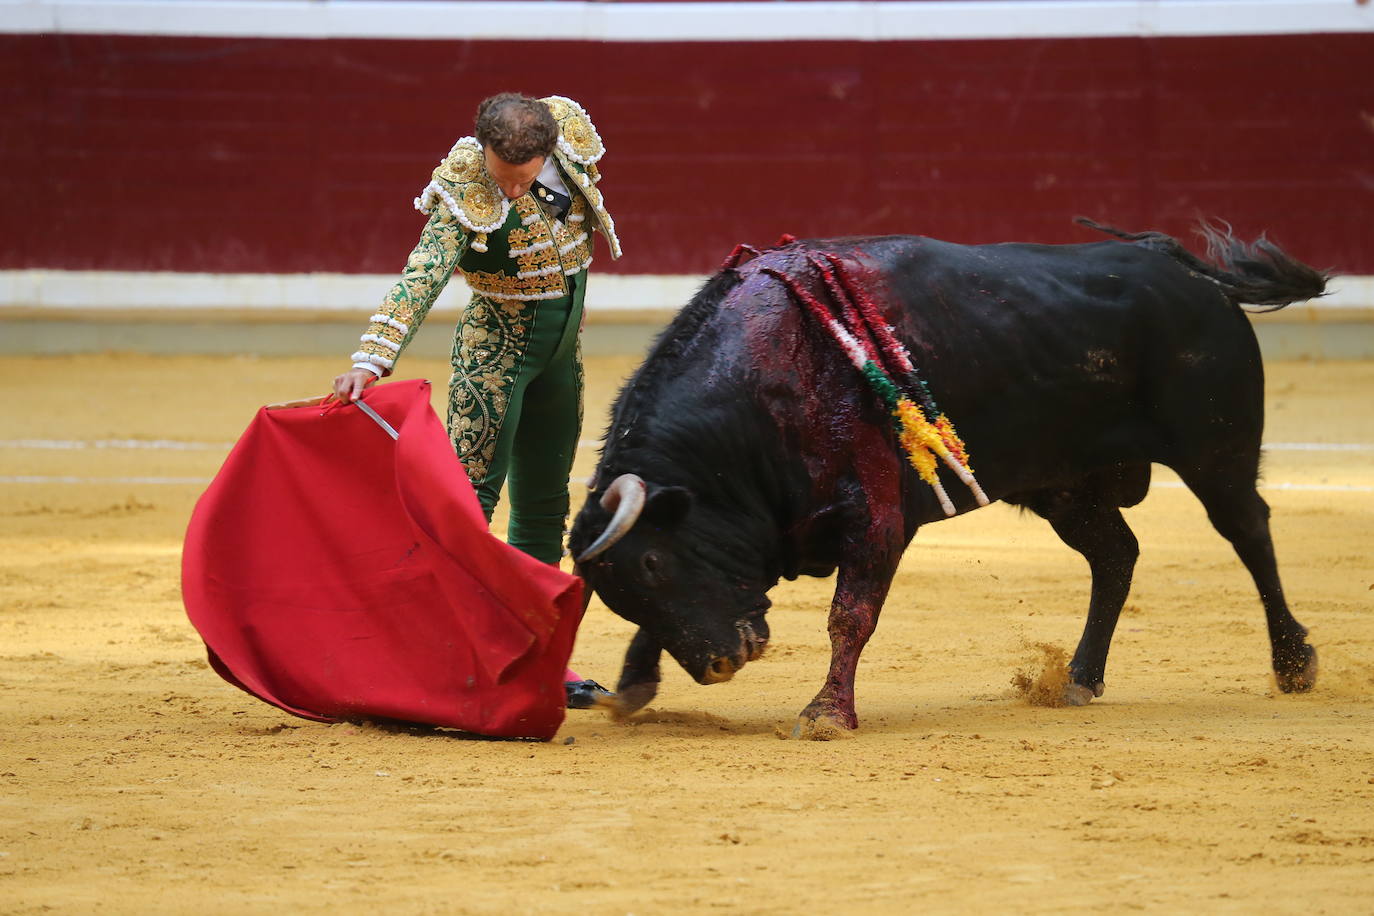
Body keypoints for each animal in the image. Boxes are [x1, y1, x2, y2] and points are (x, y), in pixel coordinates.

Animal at [563, 222, 1324, 736]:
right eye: (621, 591)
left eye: (655, 563)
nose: (720, 664)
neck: (766, 384)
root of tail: (1197, 279)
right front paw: (630, 687)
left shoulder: (876, 520)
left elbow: (850, 616)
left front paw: (826, 714)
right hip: (1067, 486)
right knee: (1116, 555)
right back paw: (1080, 680)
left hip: (1215, 450)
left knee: (1249, 532)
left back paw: (1294, 663)